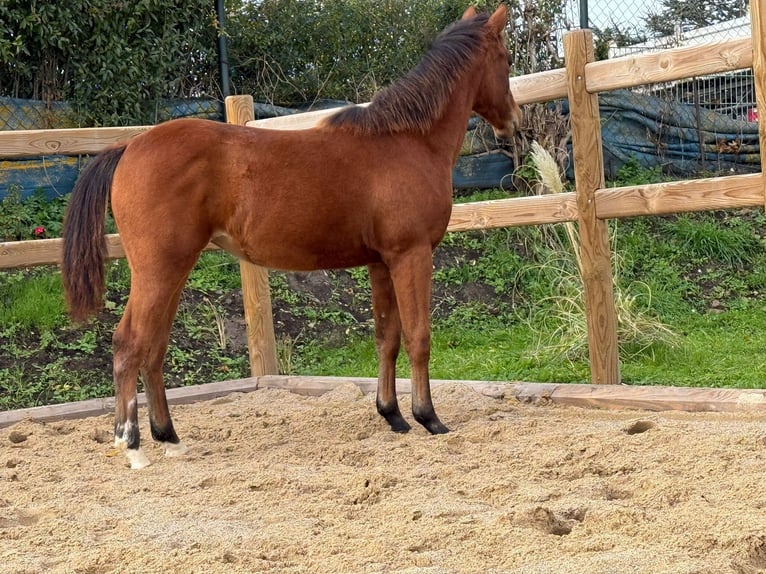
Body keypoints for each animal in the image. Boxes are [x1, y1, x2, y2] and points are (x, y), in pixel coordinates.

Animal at [61, 5, 522, 469]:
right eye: (507, 60)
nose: (514, 121)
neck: (407, 141)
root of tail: (128, 147)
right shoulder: (412, 255)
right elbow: (418, 336)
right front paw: (428, 417)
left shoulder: (381, 262)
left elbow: (386, 338)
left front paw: (392, 414)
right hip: (158, 271)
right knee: (128, 345)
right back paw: (132, 445)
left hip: (173, 271)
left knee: (153, 349)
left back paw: (169, 437)